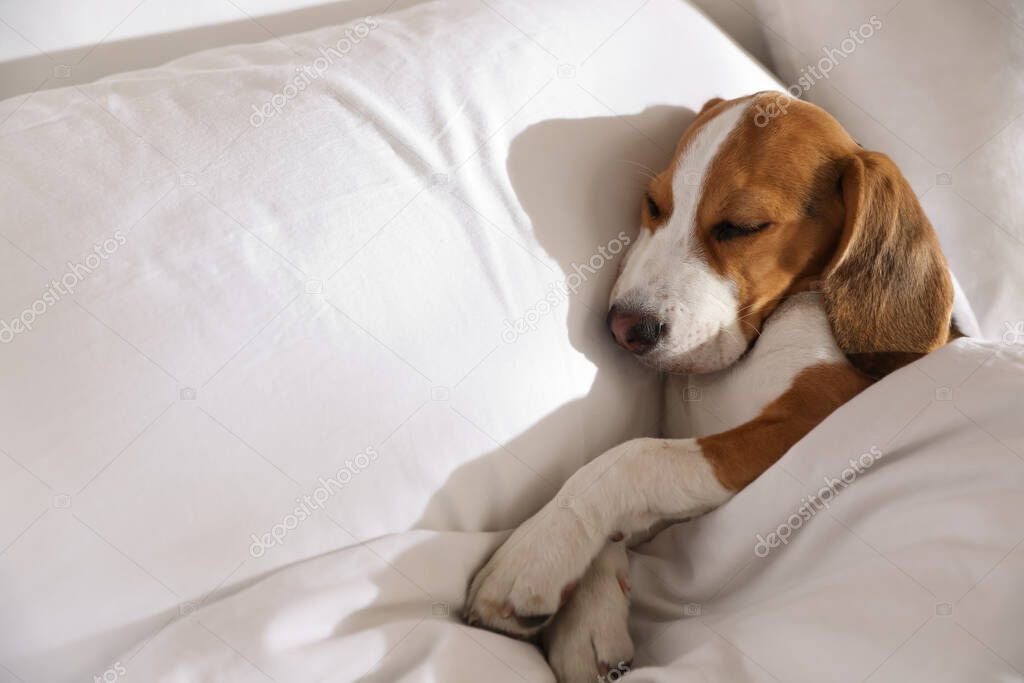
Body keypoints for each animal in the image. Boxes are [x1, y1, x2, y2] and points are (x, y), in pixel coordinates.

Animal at [468, 93, 954, 679]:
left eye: (743, 226)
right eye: (653, 205)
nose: (625, 328)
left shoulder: (806, 420)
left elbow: (630, 458)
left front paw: (539, 551)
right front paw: (585, 620)